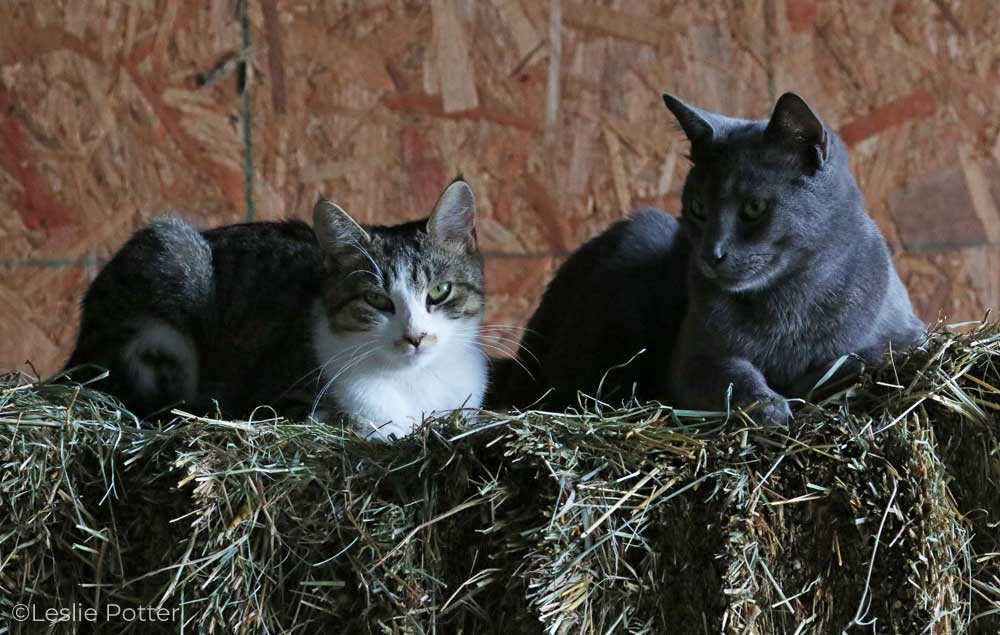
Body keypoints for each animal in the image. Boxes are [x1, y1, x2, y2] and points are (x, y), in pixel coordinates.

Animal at [62, 179, 488, 438]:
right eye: (377, 300)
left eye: (440, 291)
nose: (415, 336)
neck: (415, 382)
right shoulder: (283, 402)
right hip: (169, 260)